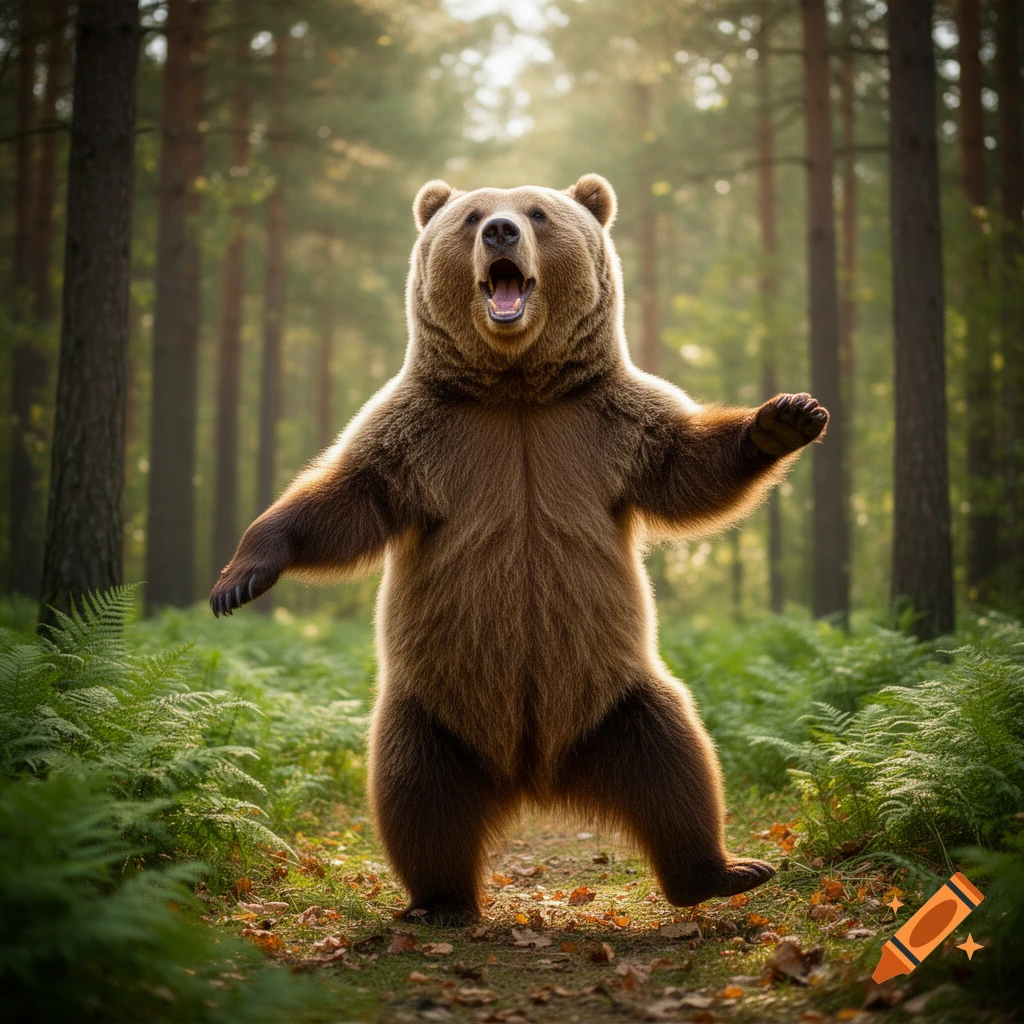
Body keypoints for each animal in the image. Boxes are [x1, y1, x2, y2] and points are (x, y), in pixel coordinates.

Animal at [209, 174, 828, 923]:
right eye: (471, 215)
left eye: (537, 213)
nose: (500, 230)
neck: (517, 391)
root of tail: (535, 772)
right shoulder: (420, 435)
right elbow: (345, 499)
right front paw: (239, 578)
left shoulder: (608, 425)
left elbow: (687, 466)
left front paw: (787, 416)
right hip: (432, 711)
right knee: (415, 794)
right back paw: (440, 900)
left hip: (620, 697)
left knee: (678, 763)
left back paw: (724, 870)